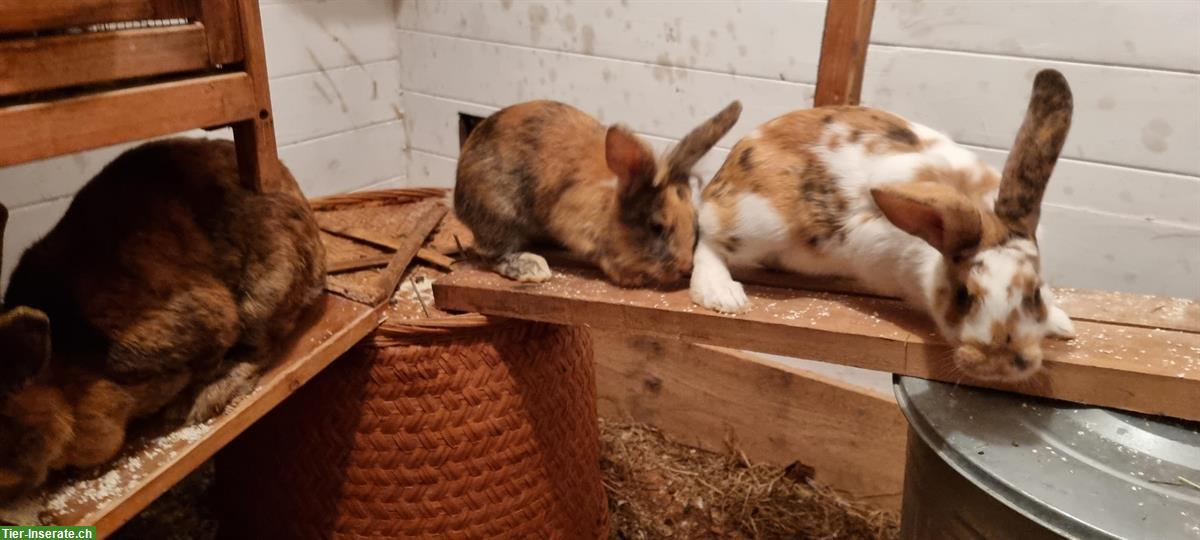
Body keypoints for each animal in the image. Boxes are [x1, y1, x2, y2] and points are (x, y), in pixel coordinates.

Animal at [455, 100, 742, 287]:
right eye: (656, 227)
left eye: (694, 223)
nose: (685, 266)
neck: (609, 209)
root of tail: (458, 198)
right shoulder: (571, 223)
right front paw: (630, 277)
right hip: (500, 214)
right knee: (487, 253)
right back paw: (532, 268)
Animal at [689, 69, 1077, 382]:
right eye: (963, 294)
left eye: (1035, 294)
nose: (999, 364)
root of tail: (725, 173)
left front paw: (1062, 325)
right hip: (761, 222)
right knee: (706, 236)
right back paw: (722, 294)